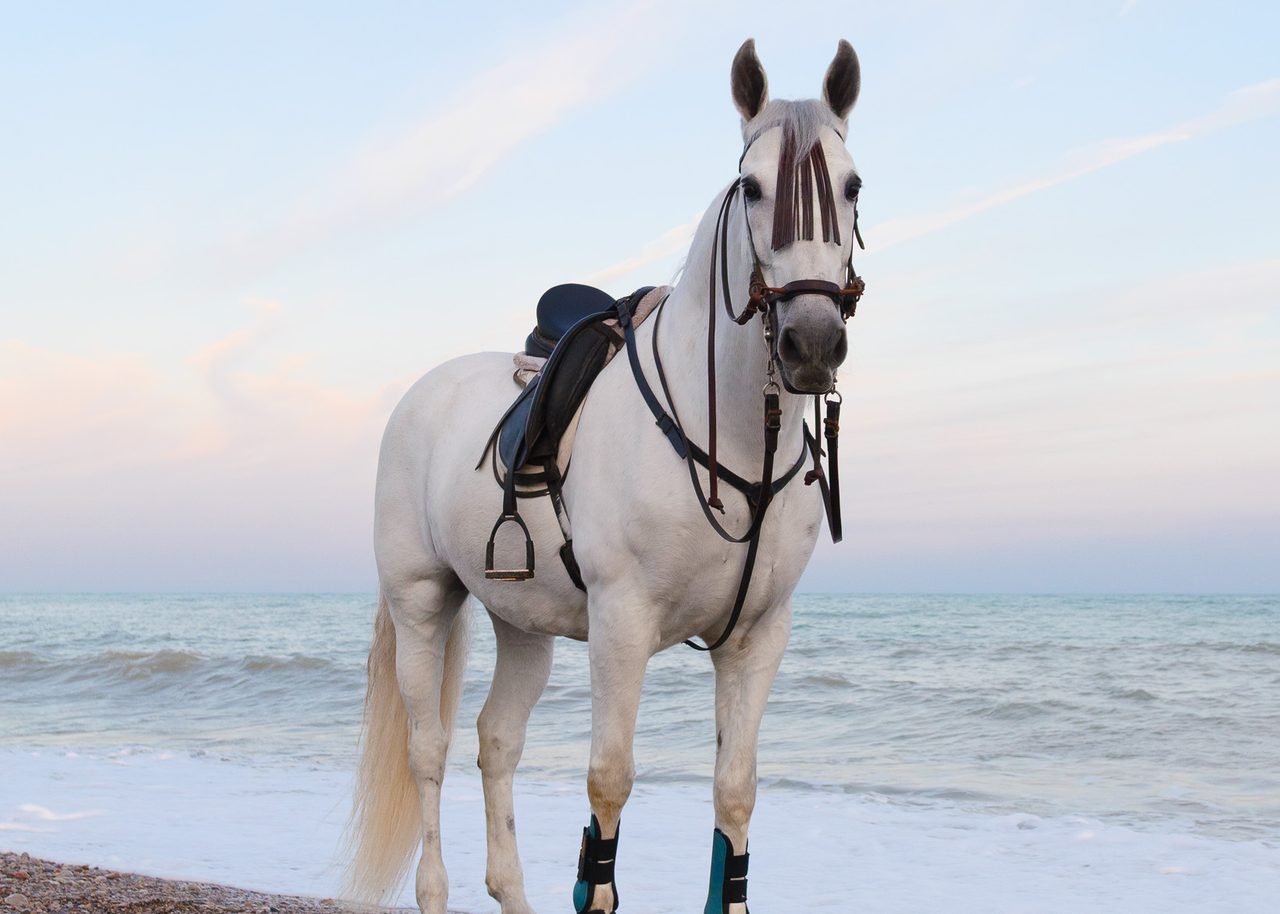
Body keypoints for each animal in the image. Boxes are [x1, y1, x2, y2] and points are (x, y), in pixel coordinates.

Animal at [347, 38, 866, 914]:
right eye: (753, 187)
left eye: (852, 186)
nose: (812, 343)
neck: (730, 434)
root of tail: (422, 394)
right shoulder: (622, 627)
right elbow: (609, 785)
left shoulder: (758, 638)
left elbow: (735, 793)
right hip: (421, 603)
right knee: (428, 750)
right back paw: (435, 887)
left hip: (522, 624)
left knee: (496, 741)